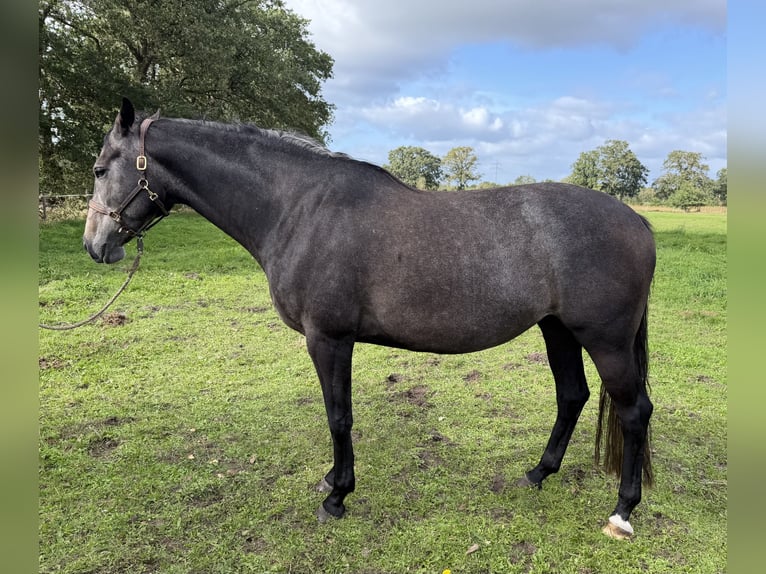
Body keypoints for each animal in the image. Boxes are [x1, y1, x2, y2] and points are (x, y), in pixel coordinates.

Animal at [83, 98, 655, 539]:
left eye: (100, 169)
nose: (95, 245)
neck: (298, 208)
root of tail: (636, 220)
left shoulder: (329, 339)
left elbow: (339, 417)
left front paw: (337, 496)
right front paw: (332, 483)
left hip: (605, 340)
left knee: (635, 412)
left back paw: (622, 512)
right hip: (557, 329)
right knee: (572, 396)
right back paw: (539, 473)